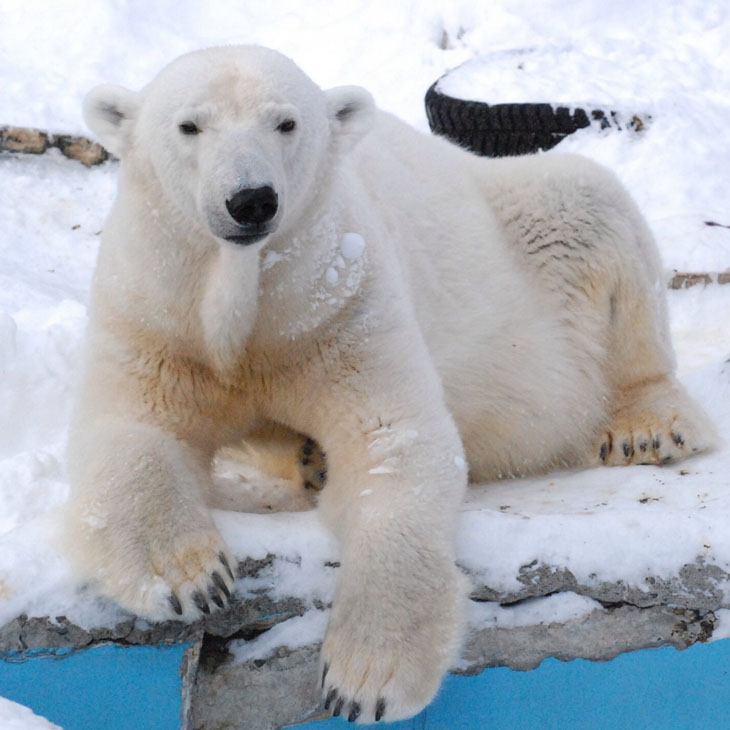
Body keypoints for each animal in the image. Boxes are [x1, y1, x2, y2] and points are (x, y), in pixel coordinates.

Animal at [64, 45, 712, 724]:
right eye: (189, 126)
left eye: (286, 123)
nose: (251, 200)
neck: (249, 302)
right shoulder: (158, 310)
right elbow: (132, 431)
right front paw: (191, 581)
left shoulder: (340, 302)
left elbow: (393, 442)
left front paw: (365, 679)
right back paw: (308, 458)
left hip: (534, 227)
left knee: (595, 208)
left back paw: (647, 426)